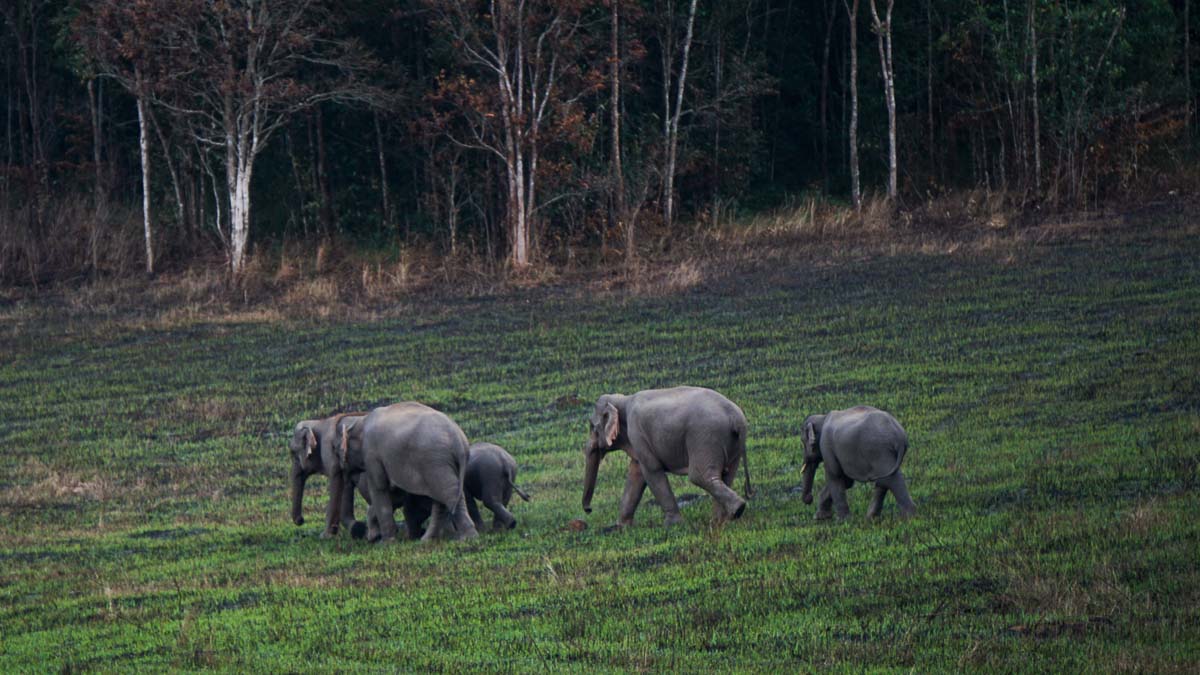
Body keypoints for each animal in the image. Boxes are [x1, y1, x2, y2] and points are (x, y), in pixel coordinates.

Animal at [338, 398, 477, 540]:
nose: (359, 530)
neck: (360, 421)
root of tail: (459, 441)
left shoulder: (372, 453)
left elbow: (379, 487)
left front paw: (385, 541)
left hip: (435, 462)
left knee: (448, 493)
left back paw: (467, 538)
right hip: (440, 465)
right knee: (444, 497)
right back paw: (427, 539)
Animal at [580, 384, 748, 526]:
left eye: (592, 426)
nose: (588, 510)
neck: (623, 399)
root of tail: (735, 417)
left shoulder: (637, 432)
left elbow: (651, 471)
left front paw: (671, 525)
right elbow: (636, 474)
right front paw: (621, 527)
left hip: (705, 438)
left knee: (700, 476)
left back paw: (736, 510)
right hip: (730, 444)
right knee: (726, 475)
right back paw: (722, 520)